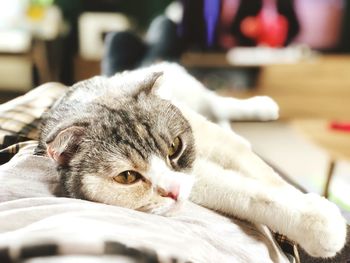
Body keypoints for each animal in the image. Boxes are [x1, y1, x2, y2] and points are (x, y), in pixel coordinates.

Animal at [36, 62, 348, 260]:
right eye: (126, 177)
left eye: (175, 147)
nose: (173, 191)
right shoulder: (198, 179)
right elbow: (245, 193)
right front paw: (316, 223)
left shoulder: (212, 141)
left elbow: (264, 174)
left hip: (195, 96)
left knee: (218, 101)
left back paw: (263, 106)